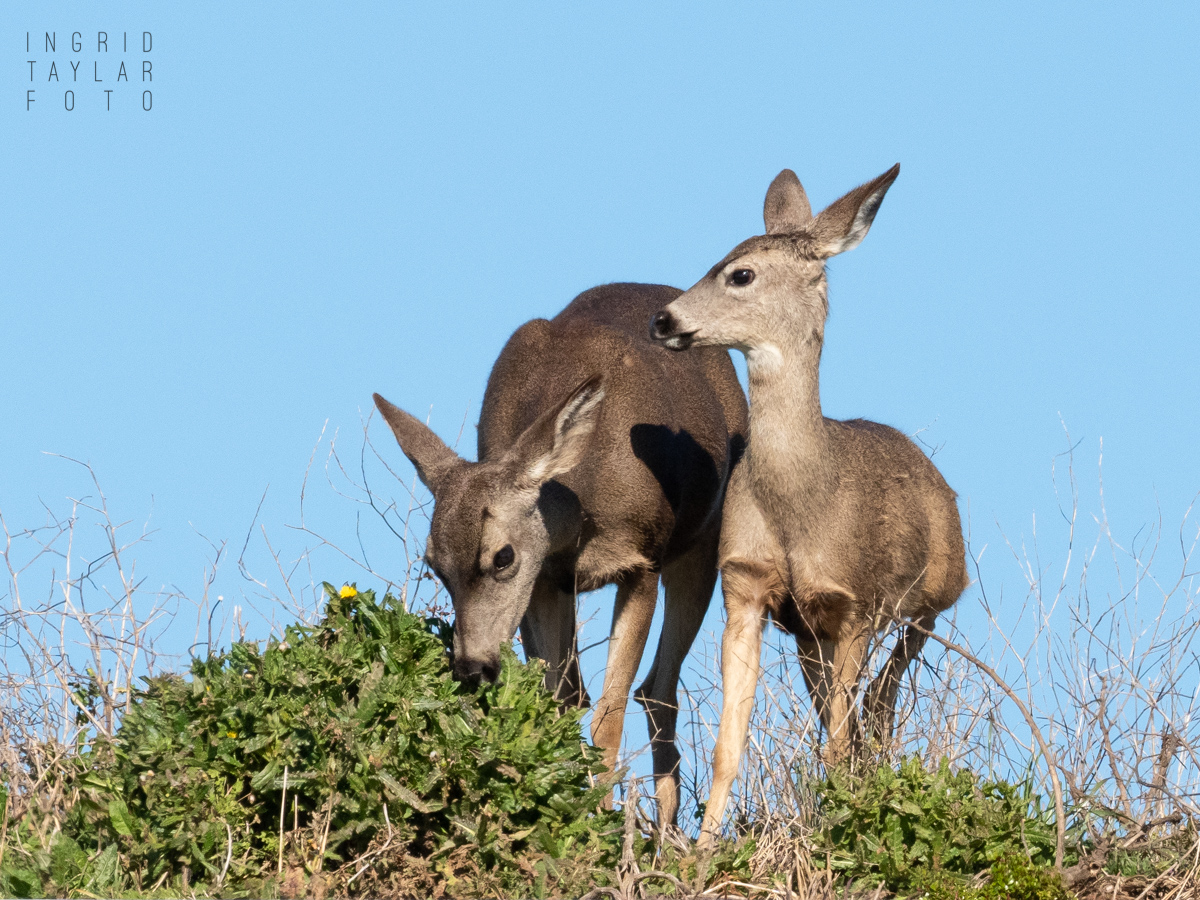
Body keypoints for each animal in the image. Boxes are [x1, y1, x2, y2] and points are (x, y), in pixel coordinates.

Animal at [374, 285, 748, 830]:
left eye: (502, 556)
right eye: (434, 566)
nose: (471, 668)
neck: (582, 512)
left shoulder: (642, 561)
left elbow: (609, 713)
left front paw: (605, 825)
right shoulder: (545, 582)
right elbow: (561, 701)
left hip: (703, 543)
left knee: (657, 690)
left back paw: (669, 833)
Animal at [652, 165, 969, 849]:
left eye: (740, 274)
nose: (663, 320)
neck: (799, 501)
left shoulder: (852, 606)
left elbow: (834, 747)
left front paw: (835, 831)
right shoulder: (747, 590)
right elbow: (729, 744)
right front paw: (702, 850)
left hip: (935, 595)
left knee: (881, 695)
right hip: (808, 640)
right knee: (851, 709)